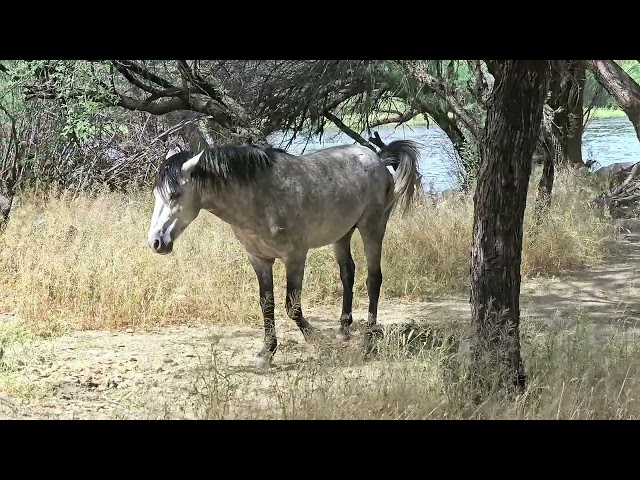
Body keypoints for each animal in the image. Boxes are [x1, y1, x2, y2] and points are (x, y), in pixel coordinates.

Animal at [148, 139, 422, 368]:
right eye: (155, 194)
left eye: (175, 194)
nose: (156, 242)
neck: (260, 198)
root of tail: (377, 159)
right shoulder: (259, 260)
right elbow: (266, 305)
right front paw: (266, 353)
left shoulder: (295, 258)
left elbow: (293, 307)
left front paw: (317, 340)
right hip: (341, 235)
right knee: (348, 274)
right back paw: (344, 328)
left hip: (372, 228)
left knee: (373, 278)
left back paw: (369, 337)